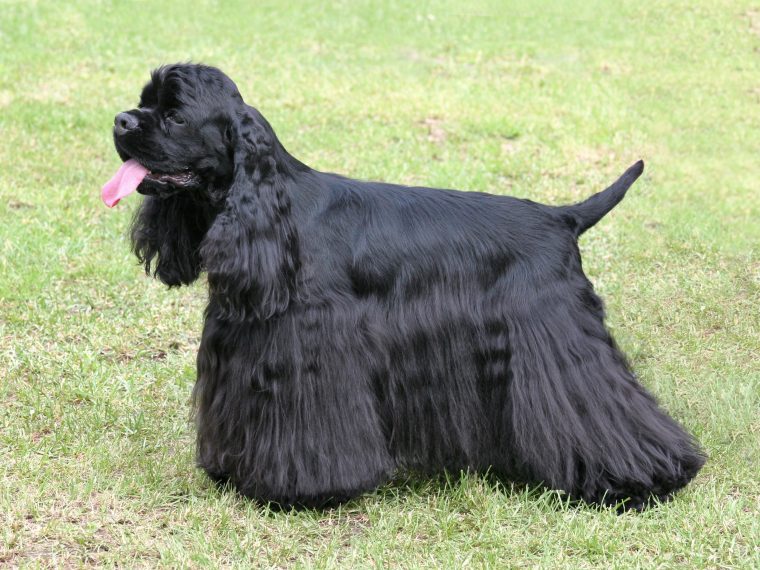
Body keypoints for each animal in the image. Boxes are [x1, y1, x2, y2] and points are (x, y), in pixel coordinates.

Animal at [104, 63, 704, 510]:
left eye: (175, 114)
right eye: (143, 101)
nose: (120, 120)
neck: (275, 210)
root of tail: (563, 217)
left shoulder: (311, 352)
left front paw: (299, 490)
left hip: (561, 340)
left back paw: (644, 479)